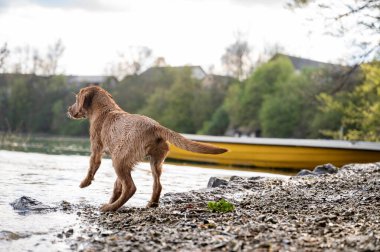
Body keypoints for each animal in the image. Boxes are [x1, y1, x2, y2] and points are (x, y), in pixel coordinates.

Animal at [67, 85, 227, 212]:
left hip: (119, 159)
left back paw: (110, 208)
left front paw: (85, 183)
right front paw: (112, 198)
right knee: (157, 186)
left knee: (131, 187)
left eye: (76, 99)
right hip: (154, 162)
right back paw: (151, 204)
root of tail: (155, 126)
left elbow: (92, 168)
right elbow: (117, 185)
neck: (106, 110)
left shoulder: (96, 150)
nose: (68, 109)